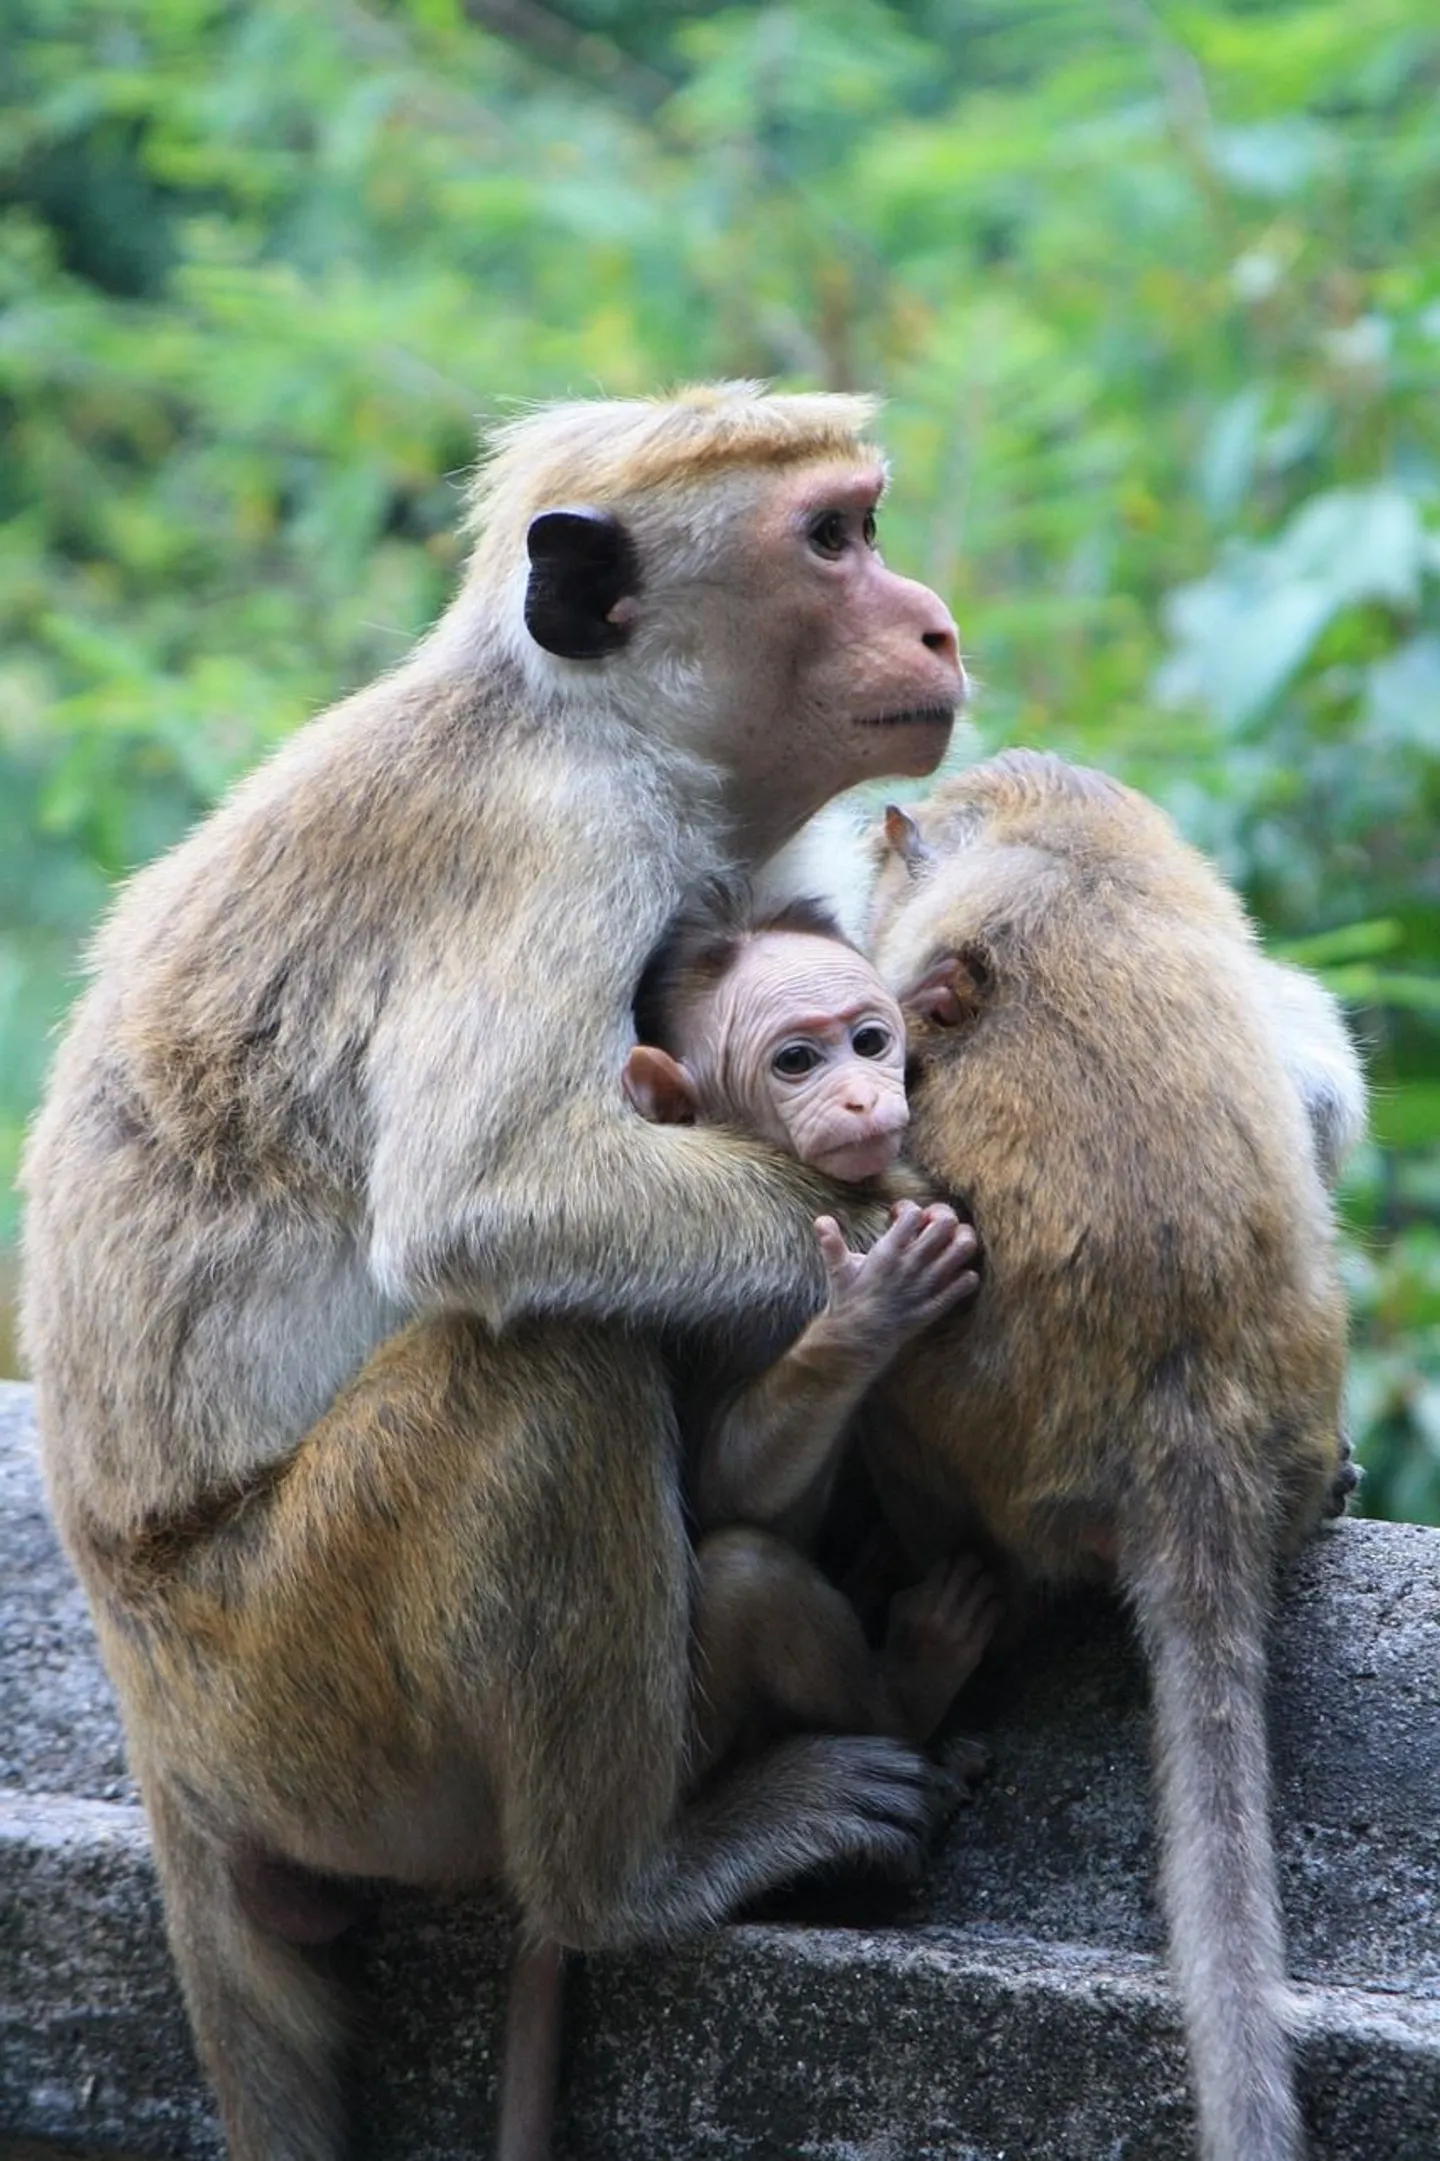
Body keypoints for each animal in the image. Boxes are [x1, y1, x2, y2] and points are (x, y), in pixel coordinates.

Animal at [19, 384, 967, 2161]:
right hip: (304, 1697)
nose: (935, 620)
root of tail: (161, 1730)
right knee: (544, 1368)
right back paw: (634, 1879)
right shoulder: (556, 851)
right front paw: (876, 1240)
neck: (592, 724)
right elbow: (485, 1200)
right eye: (833, 538)